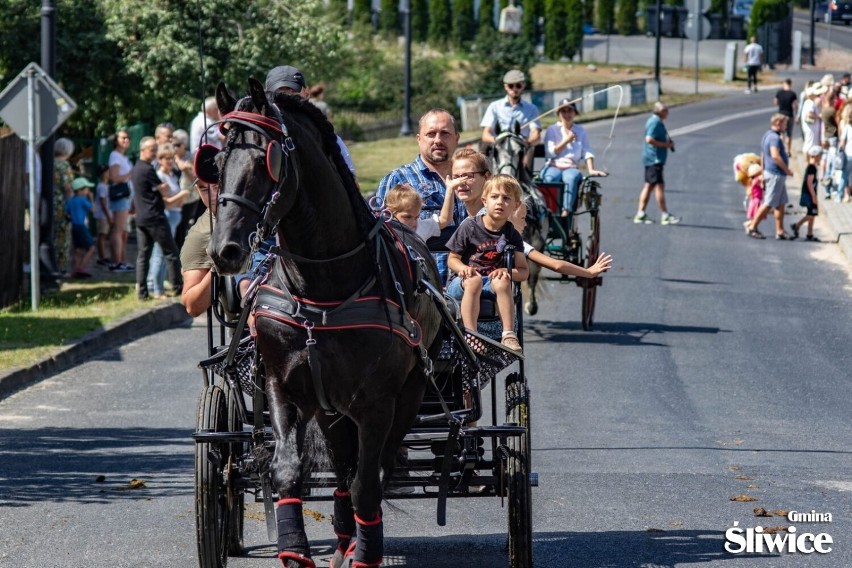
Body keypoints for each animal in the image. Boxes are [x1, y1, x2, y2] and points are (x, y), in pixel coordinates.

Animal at [209, 79, 442, 568]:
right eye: (216, 164)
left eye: (265, 161)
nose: (226, 250)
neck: (323, 288)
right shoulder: (283, 385)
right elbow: (287, 470)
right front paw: (295, 549)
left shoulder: (377, 403)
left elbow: (367, 485)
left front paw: (365, 553)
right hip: (332, 407)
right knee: (342, 466)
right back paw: (343, 536)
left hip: (406, 397)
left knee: (373, 471)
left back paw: (356, 541)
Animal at [490, 125, 548, 318]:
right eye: (495, 150)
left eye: (520, 151)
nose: (507, 177)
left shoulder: (535, 243)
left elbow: (530, 275)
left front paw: (529, 305)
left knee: (532, 275)